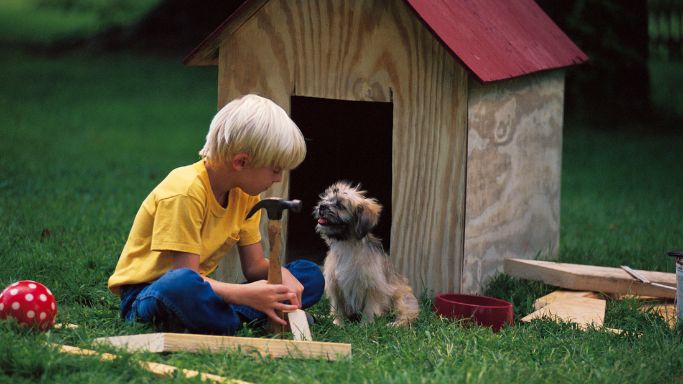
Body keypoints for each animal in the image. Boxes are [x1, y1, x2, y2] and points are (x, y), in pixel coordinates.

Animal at [314, 182, 420, 326]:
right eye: (325, 199)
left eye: (341, 205)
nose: (322, 206)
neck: (347, 245)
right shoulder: (335, 285)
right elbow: (338, 306)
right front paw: (338, 322)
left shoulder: (373, 286)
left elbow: (370, 307)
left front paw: (366, 324)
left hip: (401, 296)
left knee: (407, 314)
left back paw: (395, 324)